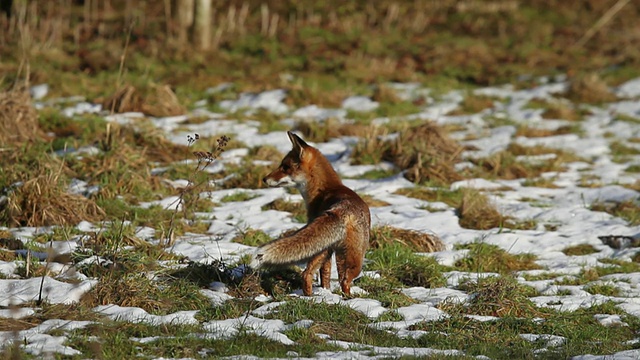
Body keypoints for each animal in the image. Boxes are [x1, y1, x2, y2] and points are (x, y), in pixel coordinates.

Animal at [250, 131, 370, 296]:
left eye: (285, 167)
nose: (264, 179)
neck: (325, 189)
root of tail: (343, 210)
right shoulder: (330, 250)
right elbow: (325, 275)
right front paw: (326, 291)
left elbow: (324, 274)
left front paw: (325, 291)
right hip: (343, 254)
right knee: (332, 277)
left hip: (338, 253)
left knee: (319, 275)